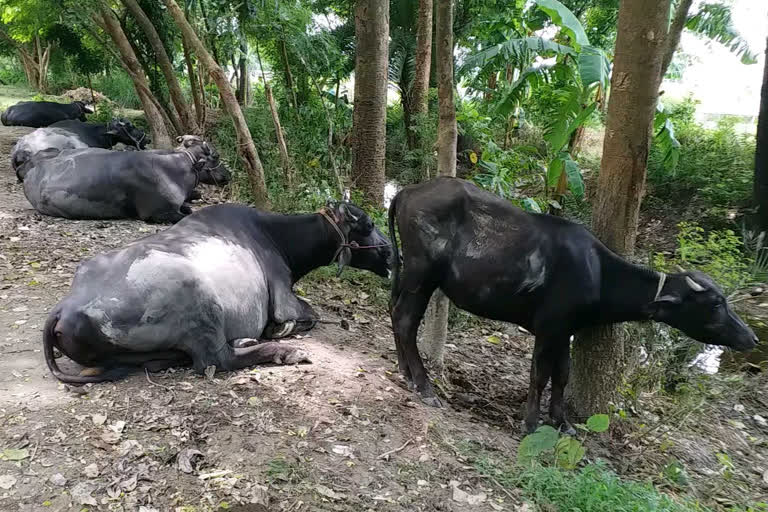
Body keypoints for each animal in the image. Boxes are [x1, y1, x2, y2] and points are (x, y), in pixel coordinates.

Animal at [43, 202, 390, 382]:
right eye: (368, 224)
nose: (390, 251)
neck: (275, 236)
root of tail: (66, 308)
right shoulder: (284, 299)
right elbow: (307, 315)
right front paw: (281, 332)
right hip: (198, 300)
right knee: (215, 360)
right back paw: (284, 352)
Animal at [388, 176, 760, 432]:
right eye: (715, 304)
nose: (752, 338)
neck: (597, 273)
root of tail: (408, 192)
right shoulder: (548, 326)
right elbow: (540, 373)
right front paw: (531, 422)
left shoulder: (567, 329)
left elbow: (563, 374)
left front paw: (562, 422)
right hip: (422, 275)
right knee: (406, 319)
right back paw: (425, 387)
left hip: (407, 274)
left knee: (394, 312)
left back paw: (406, 371)